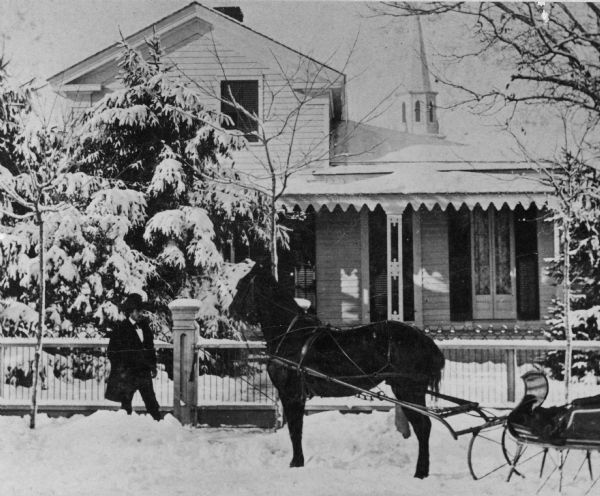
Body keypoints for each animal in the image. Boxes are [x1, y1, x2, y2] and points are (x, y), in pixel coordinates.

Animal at [230, 262, 446, 478]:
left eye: (240, 286)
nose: (230, 311)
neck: (290, 335)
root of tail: (424, 339)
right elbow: (296, 429)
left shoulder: (290, 394)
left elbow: (294, 429)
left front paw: (296, 462)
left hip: (408, 389)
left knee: (422, 426)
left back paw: (420, 472)